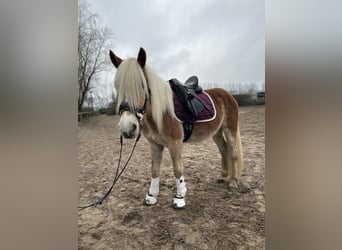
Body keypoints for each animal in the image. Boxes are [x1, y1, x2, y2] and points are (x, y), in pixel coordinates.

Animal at [109, 47, 243, 208]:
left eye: (142, 85)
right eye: (117, 86)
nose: (127, 128)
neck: (161, 113)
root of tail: (228, 94)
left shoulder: (175, 144)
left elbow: (177, 169)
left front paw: (180, 197)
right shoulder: (154, 145)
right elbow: (154, 170)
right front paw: (151, 196)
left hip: (230, 129)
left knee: (233, 153)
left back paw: (233, 182)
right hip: (216, 132)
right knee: (223, 149)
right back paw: (223, 176)